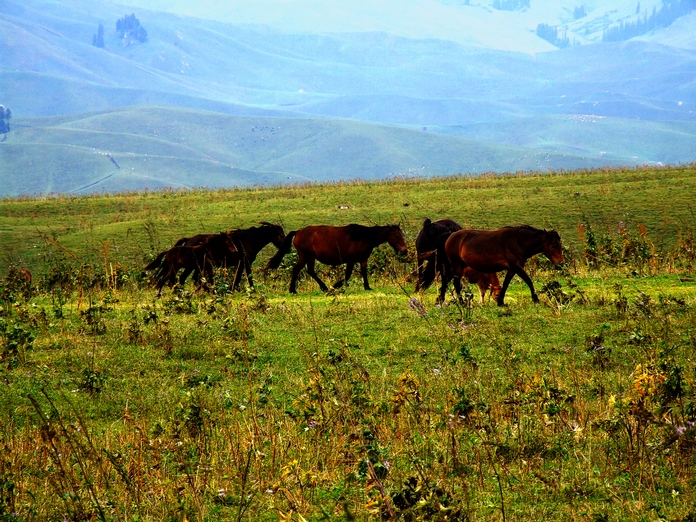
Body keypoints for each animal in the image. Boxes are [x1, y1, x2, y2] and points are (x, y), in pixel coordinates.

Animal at [266, 224, 408, 294]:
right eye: (396, 236)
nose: (404, 251)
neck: (363, 237)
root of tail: (298, 232)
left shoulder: (363, 259)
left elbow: (364, 272)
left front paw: (367, 287)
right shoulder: (351, 260)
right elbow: (348, 275)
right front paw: (336, 285)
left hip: (304, 256)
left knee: (299, 270)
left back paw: (293, 290)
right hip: (308, 256)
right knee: (308, 271)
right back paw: (322, 287)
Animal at [435, 225, 563, 306]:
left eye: (560, 245)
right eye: (553, 245)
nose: (561, 263)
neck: (518, 241)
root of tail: (450, 235)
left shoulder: (512, 269)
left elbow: (506, 284)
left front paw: (501, 302)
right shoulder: (517, 266)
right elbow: (529, 281)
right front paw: (536, 299)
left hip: (458, 267)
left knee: (447, 280)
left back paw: (440, 300)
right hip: (457, 266)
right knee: (455, 283)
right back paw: (460, 302)